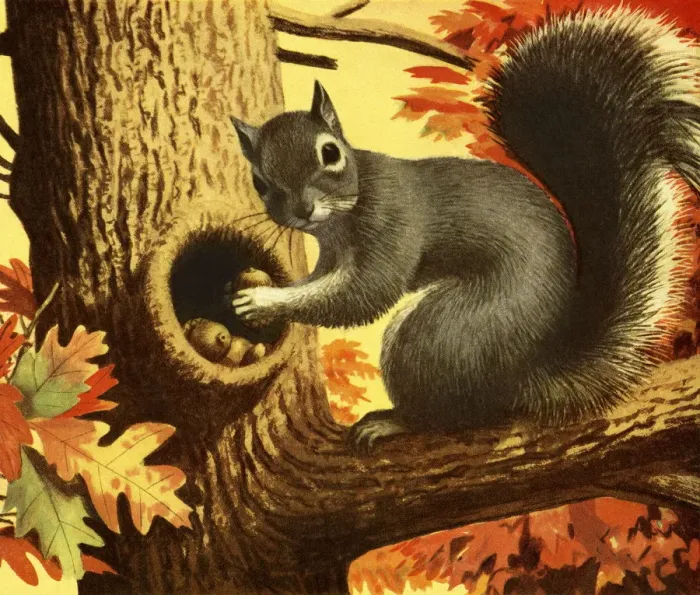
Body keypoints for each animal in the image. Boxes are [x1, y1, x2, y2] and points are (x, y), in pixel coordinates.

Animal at [230, 8, 700, 451]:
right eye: (259, 181)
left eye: (330, 153)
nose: (304, 210)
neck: (342, 216)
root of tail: (529, 373)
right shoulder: (330, 253)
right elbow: (323, 283)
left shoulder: (393, 220)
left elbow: (363, 294)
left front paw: (263, 300)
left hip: (444, 334)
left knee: (451, 414)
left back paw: (398, 421)